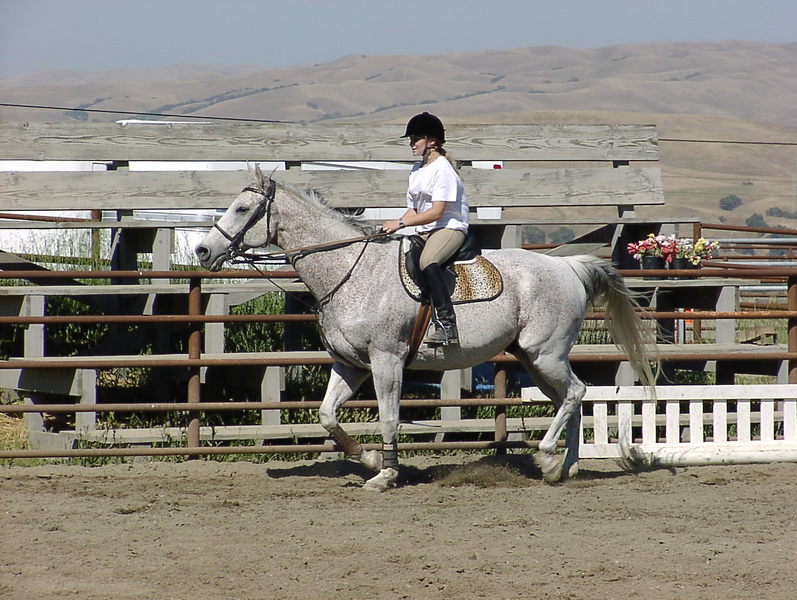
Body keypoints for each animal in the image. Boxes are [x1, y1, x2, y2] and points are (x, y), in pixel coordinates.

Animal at [195, 166, 656, 491]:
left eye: (241, 209)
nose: (202, 251)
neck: (349, 270)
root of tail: (568, 266)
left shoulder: (387, 361)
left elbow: (389, 419)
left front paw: (386, 475)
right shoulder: (351, 365)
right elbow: (327, 415)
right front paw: (368, 460)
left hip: (546, 354)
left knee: (575, 393)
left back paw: (546, 458)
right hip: (533, 359)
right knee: (570, 399)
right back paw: (565, 469)